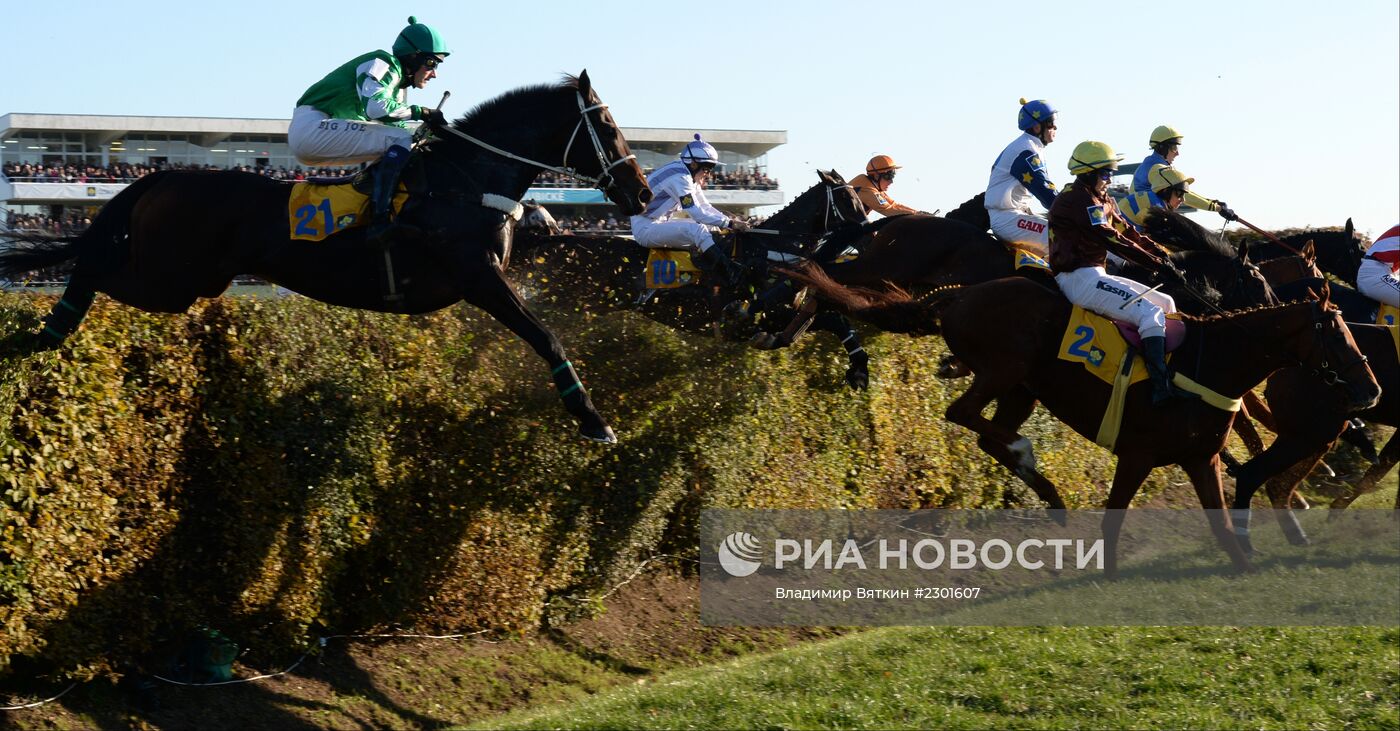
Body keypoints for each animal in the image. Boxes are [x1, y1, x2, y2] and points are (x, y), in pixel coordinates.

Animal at [0, 71, 649, 439]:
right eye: (608, 126)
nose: (641, 192)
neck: (464, 180)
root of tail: (160, 176)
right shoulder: (478, 277)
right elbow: (547, 337)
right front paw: (593, 420)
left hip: (193, 280)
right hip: (168, 277)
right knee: (89, 267)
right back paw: (41, 335)